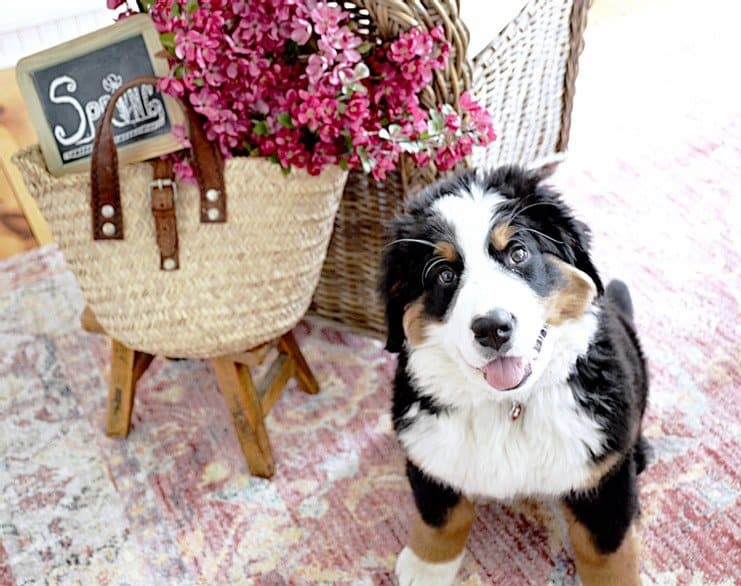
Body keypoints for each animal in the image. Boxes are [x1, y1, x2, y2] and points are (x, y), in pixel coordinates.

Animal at [382, 165, 648, 584]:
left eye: (518, 253)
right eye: (444, 275)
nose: (492, 328)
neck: (509, 407)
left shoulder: (604, 474)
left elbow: (607, 550)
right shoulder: (427, 448)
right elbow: (442, 515)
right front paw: (428, 565)